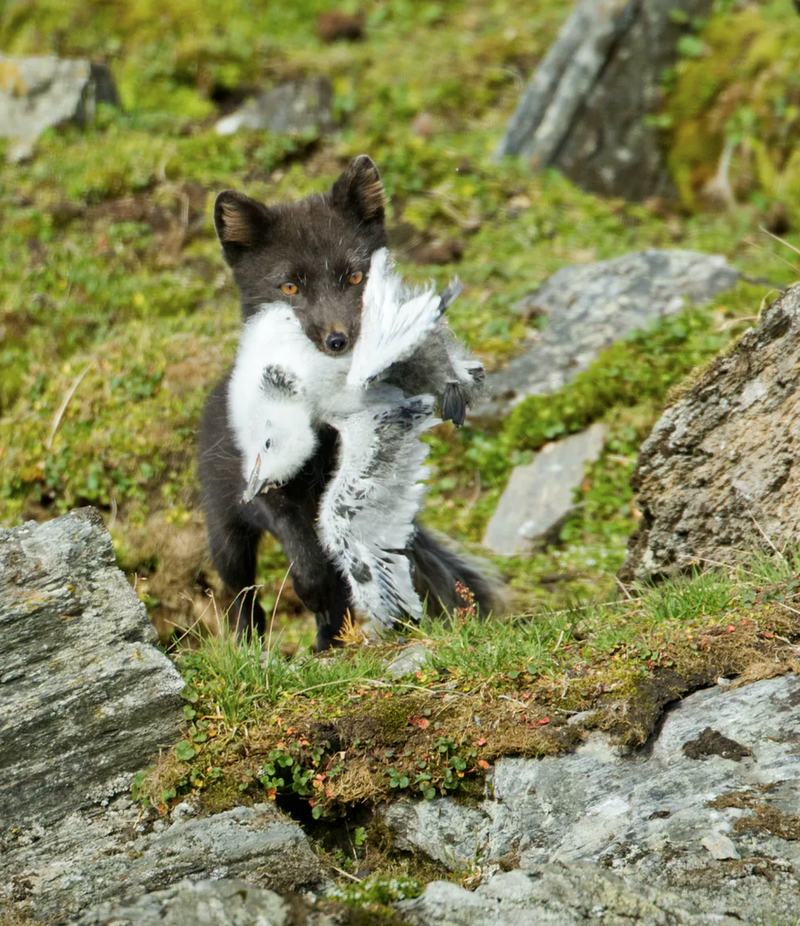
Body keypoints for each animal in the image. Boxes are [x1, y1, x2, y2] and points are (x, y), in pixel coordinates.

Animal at [200, 156, 496, 652]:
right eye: (289, 287)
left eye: (357, 277)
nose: (339, 340)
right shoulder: (265, 485)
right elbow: (303, 552)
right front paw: (314, 590)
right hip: (224, 531)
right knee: (241, 592)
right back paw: (250, 644)